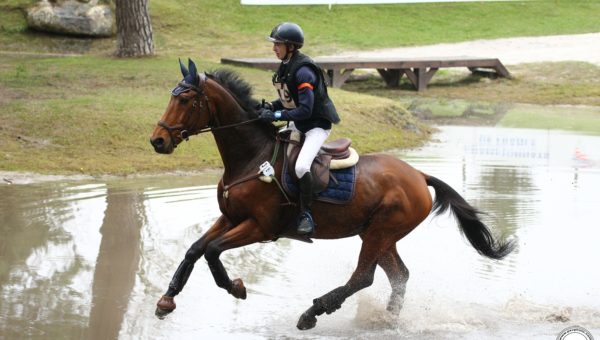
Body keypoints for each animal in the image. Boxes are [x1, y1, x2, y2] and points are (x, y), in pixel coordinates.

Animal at [150, 58, 516, 330]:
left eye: (185, 100)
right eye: (171, 96)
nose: (158, 141)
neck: (250, 158)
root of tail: (418, 175)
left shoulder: (259, 227)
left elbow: (212, 251)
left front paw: (236, 287)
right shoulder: (230, 217)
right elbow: (194, 250)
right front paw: (167, 300)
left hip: (380, 231)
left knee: (363, 277)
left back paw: (314, 312)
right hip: (379, 234)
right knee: (398, 276)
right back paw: (386, 320)